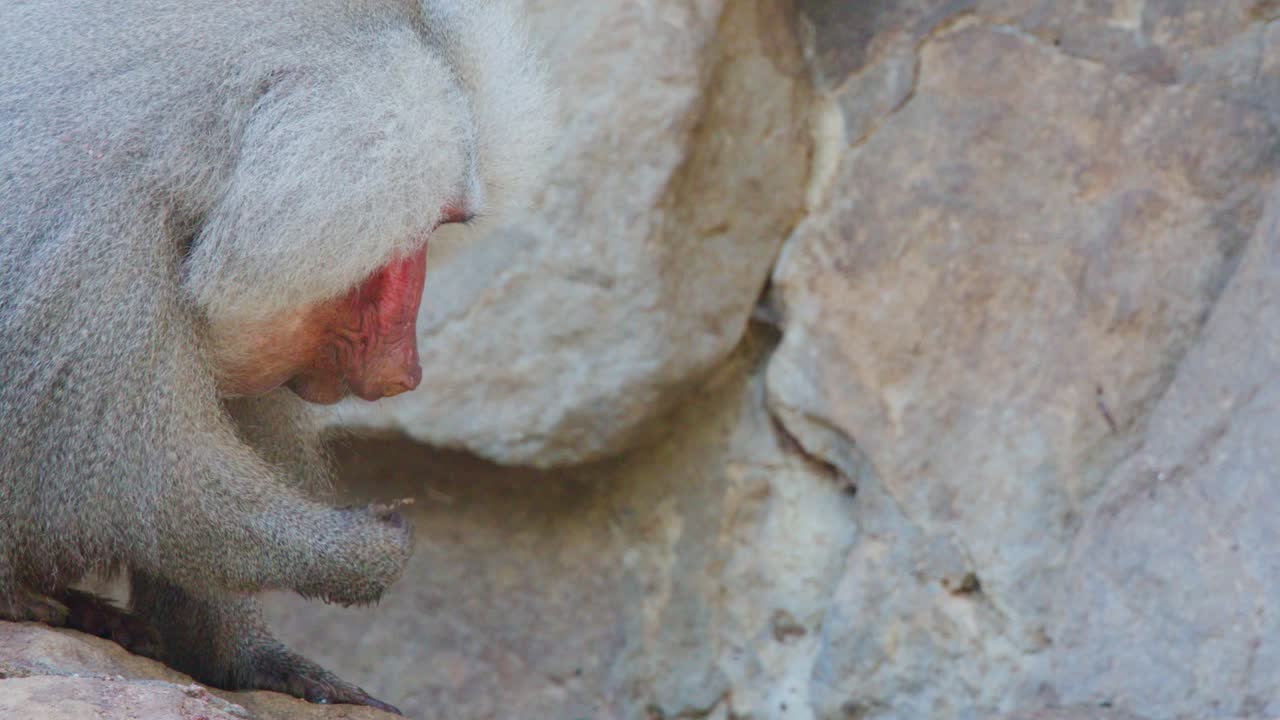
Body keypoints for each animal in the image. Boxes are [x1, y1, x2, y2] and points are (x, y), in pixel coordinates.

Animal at [0, 0, 551, 713]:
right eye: (428, 228)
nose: (409, 371)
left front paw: (255, 660)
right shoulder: (93, 253)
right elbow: (159, 494)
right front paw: (364, 549)